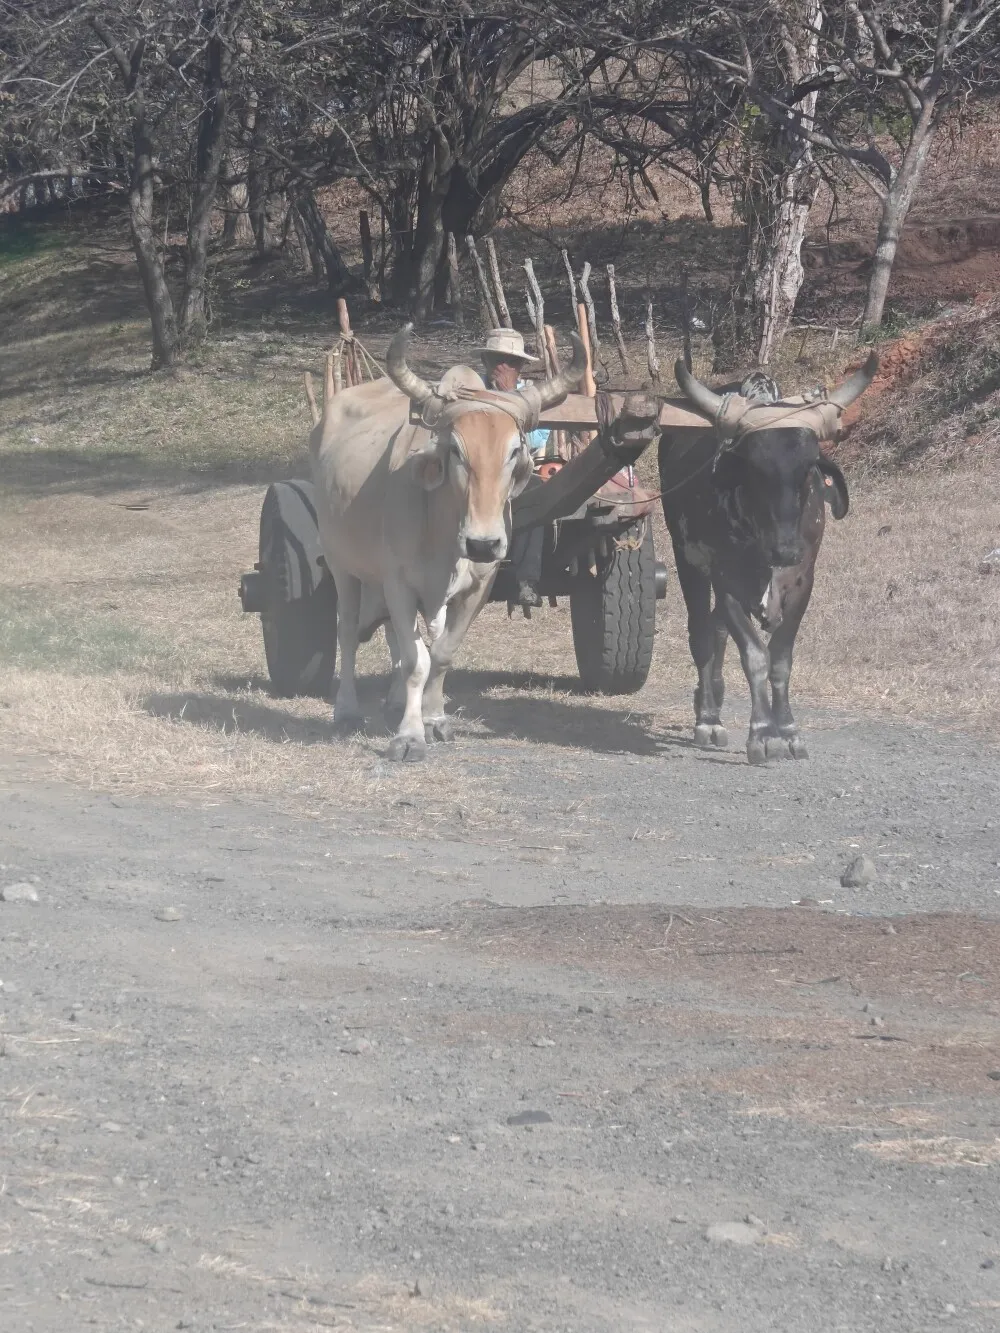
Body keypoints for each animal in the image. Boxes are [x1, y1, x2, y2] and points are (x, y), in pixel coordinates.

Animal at [307, 324, 586, 761]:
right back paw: (348, 709)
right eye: (455, 449)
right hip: (342, 565)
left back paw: (394, 702)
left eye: (514, 450)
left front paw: (433, 718)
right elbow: (414, 661)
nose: (483, 544)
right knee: (348, 631)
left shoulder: (477, 587)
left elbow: (440, 654)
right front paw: (409, 736)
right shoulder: (399, 583)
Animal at [658, 353, 878, 765]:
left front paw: (788, 731)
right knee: (701, 633)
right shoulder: (724, 579)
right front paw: (761, 733)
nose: (785, 549)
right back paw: (708, 718)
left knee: (716, 631)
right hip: (687, 561)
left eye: (808, 467)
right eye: (754, 467)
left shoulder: (804, 582)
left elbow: (780, 659)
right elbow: (754, 657)